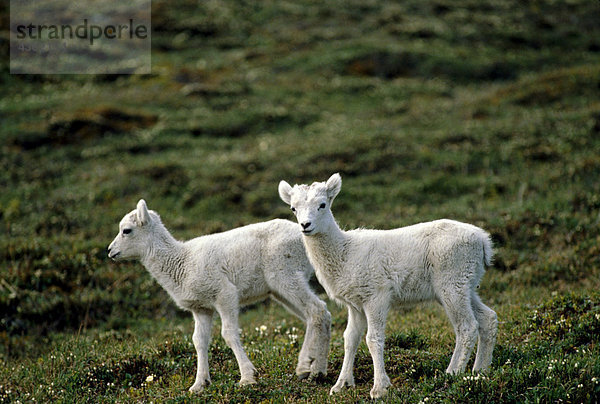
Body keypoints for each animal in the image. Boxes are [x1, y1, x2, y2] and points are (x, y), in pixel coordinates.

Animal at [108, 200, 332, 392]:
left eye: (126, 230)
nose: (110, 251)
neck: (182, 261)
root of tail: (307, 236)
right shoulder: (202, 309)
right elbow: (199, 341)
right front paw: (199, 385)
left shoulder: (225, 295)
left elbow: (229, 334)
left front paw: (247, 378)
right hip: (280, 291)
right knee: (319, 316)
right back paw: (317, 370)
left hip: (285, 277)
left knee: (317, 310)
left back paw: (304, 367)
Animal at [278, 173, 500, 398]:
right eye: (293, 208)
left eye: (322, 204)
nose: (305, 225)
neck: (344, 253)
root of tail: (483, 242)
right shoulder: (355, 305)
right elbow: (350, 339)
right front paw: (340, 385)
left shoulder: (377, 297)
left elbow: (373, 339)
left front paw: (379, 388)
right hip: (466, 285)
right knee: (488, 317)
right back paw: (479, 371)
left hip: (452, 283)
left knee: (467, 327)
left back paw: (453, 372)